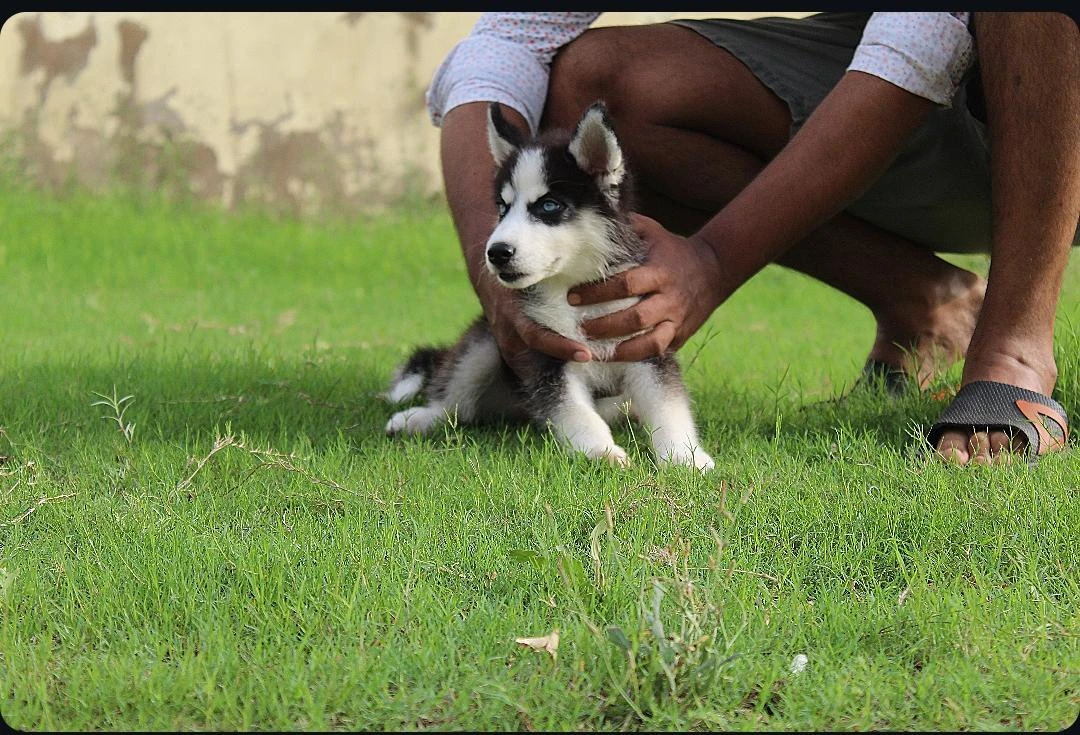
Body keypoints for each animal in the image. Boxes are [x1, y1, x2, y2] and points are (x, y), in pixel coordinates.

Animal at [384, 103, 712, 470]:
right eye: (502, 207)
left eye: (549, 205)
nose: (496, 253)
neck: (573, 289)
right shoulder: (546, 353)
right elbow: (576, 412)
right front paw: (601, 452)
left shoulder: (646, 344)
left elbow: (667, 405)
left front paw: (685, 456)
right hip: (485, 343)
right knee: (456, 402)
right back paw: (418, 418)